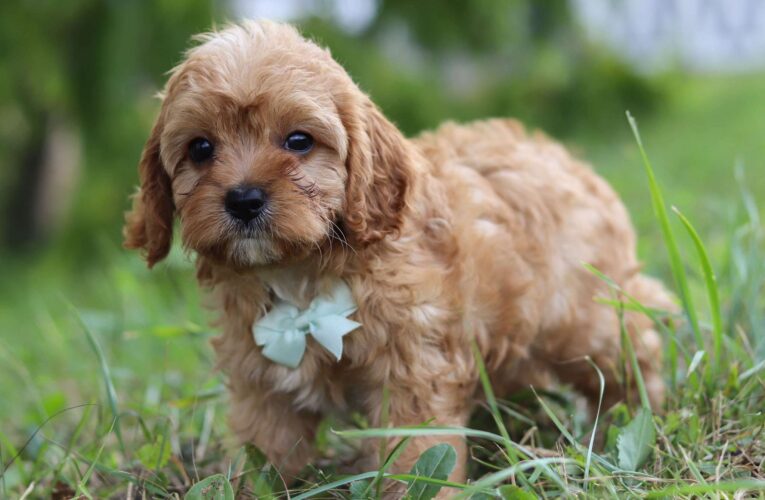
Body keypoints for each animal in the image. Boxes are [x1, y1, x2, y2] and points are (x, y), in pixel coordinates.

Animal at [125, 20, 676, 492]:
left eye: (299, 141)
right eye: (200, 148)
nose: (243, 199)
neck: (303, 278)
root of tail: (565, 158)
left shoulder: (413, 370)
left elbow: (417, 455)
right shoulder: (263, 384)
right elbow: (267, 451)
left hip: (582, 319)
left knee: (634, 343)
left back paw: (636, 414)